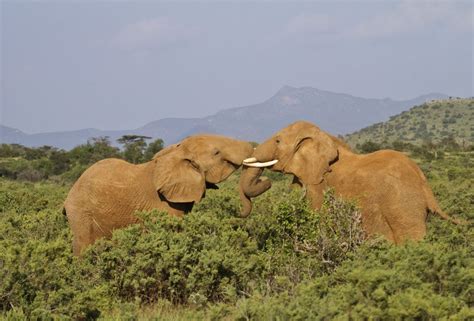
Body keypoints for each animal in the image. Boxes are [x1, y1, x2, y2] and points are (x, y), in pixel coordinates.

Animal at [239, 120, 462, 242]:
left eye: (277, 140)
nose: (266, 181)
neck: (324, 137)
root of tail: (423, 182)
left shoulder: (318, 184)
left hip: (403, 205)